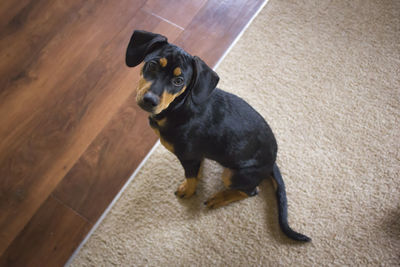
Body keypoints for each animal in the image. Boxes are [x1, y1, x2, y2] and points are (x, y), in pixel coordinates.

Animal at [126, 29, 310, 243]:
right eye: (152, 65)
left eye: (179, 81)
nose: (149, 100)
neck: (179, 108)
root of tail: (272, 162)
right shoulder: (195, 157)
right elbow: (195, 172)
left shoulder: (188, 156)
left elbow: (190, 177)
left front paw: (188, 191)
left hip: (232, 174)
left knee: (250, 191)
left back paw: (219, 198)